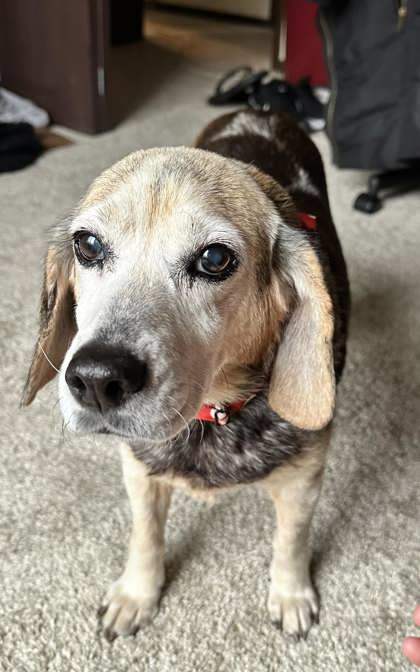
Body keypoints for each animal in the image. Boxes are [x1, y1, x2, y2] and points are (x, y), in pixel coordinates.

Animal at [23, 113, 352, 644]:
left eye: (214, 259)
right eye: (87, 245)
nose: (96, 378)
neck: (213, 414)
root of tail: (259, 107)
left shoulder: (304, 479)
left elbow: (292, 541)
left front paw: (291, 594)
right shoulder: (139, 470)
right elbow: (145, 535)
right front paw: (137, 594)